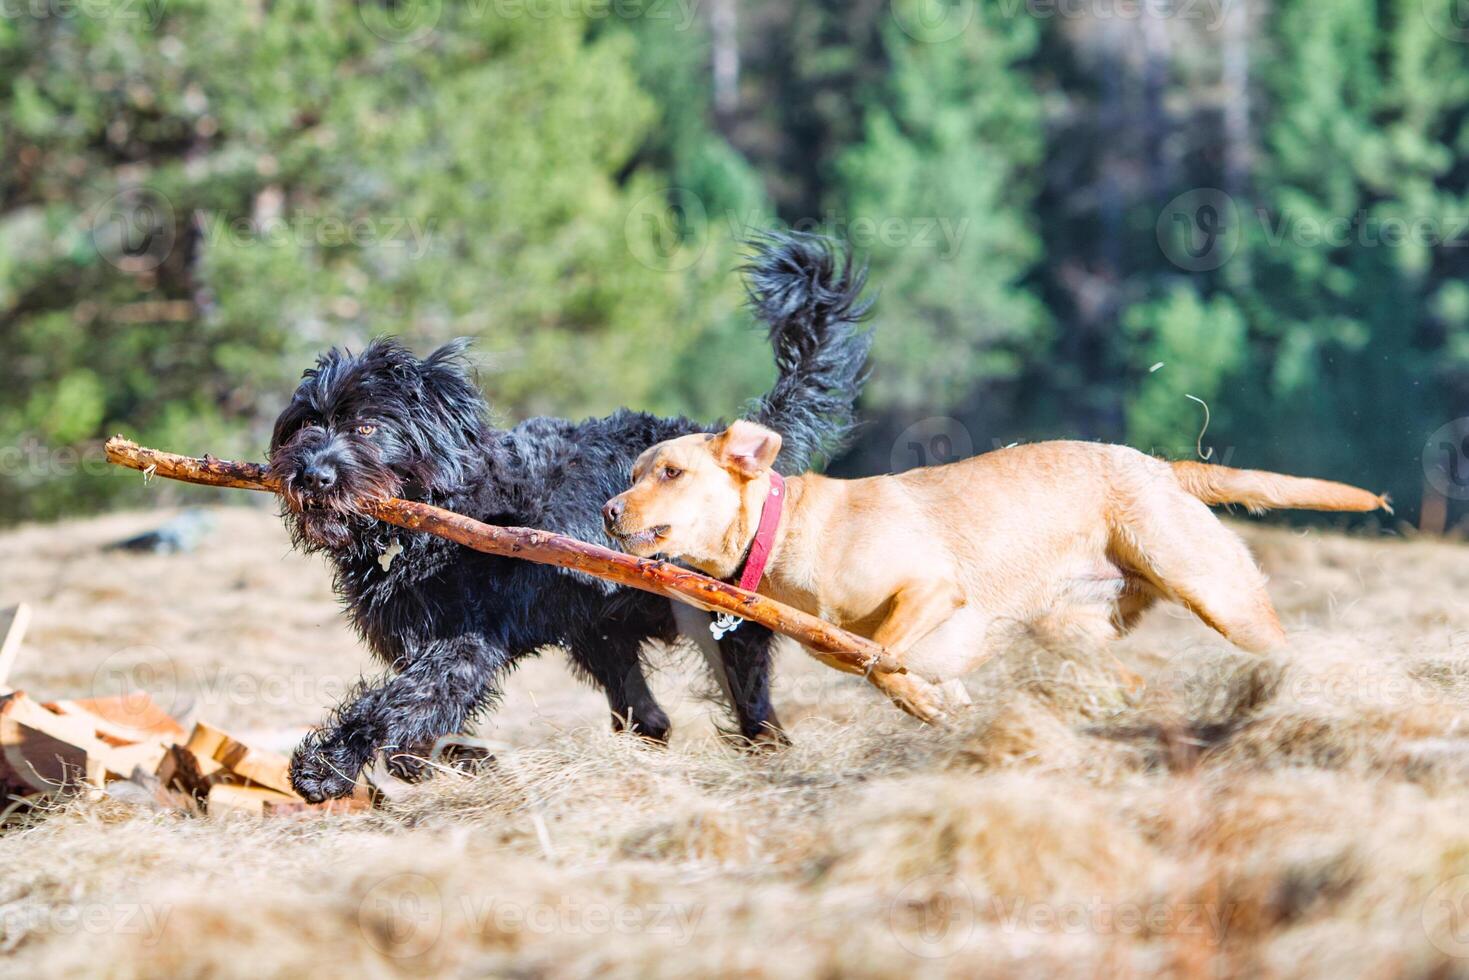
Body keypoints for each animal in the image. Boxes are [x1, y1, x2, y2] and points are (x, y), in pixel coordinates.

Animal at [267, 233, 869, 799]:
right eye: (305, 425)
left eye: (367, 426)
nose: (312, 476)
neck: (425, 526)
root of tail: (735, 453)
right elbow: (421, 718)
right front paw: (454, 762)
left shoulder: (465, 641)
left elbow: (402, 700)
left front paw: (328, 766)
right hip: (600, 633)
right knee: (649, 715)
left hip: (726, 624)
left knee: (752, 707)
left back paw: (766, 757)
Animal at [599, 423, 1386, 719]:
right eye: (633, 473)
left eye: (670, 472)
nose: (605, 512)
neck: (785, 526)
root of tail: (1164, 468)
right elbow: (874, 665)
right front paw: (928, 703)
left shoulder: (930, 589)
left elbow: (879, 651)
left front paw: (920, 697)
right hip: (1071, 631)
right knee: (1130, 681)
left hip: (1218, 594)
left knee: (1277, 643)